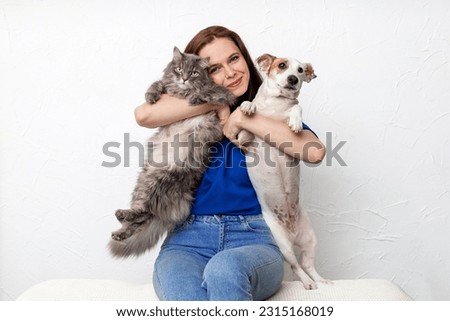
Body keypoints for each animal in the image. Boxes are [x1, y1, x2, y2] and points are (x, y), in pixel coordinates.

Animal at [109, 47, 236, 258]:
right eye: (179, 69)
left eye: (194, 73)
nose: (184, 78)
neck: (181, 92)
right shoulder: (167, 85)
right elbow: (158, 83)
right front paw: (151, 96)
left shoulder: (224, 94)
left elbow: (209, 91)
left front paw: (195, 97)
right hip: (144, 184)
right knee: (140, 217)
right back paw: (120, 228)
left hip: (159, 180)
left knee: (143, 215)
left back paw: (122, 218)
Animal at [237, 53, 328, 288]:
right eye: (282, 65)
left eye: (300, 70)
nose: (293, 79)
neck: (274, 106)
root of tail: (292, 233)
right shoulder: (245, 138)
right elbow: (246, 119)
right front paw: (247, 106)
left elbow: (297, 108)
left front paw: (295, 122)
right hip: (283, 246)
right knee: (296, 266)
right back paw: (308, 283)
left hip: (310, 240)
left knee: (307, 265)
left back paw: (320, 281)